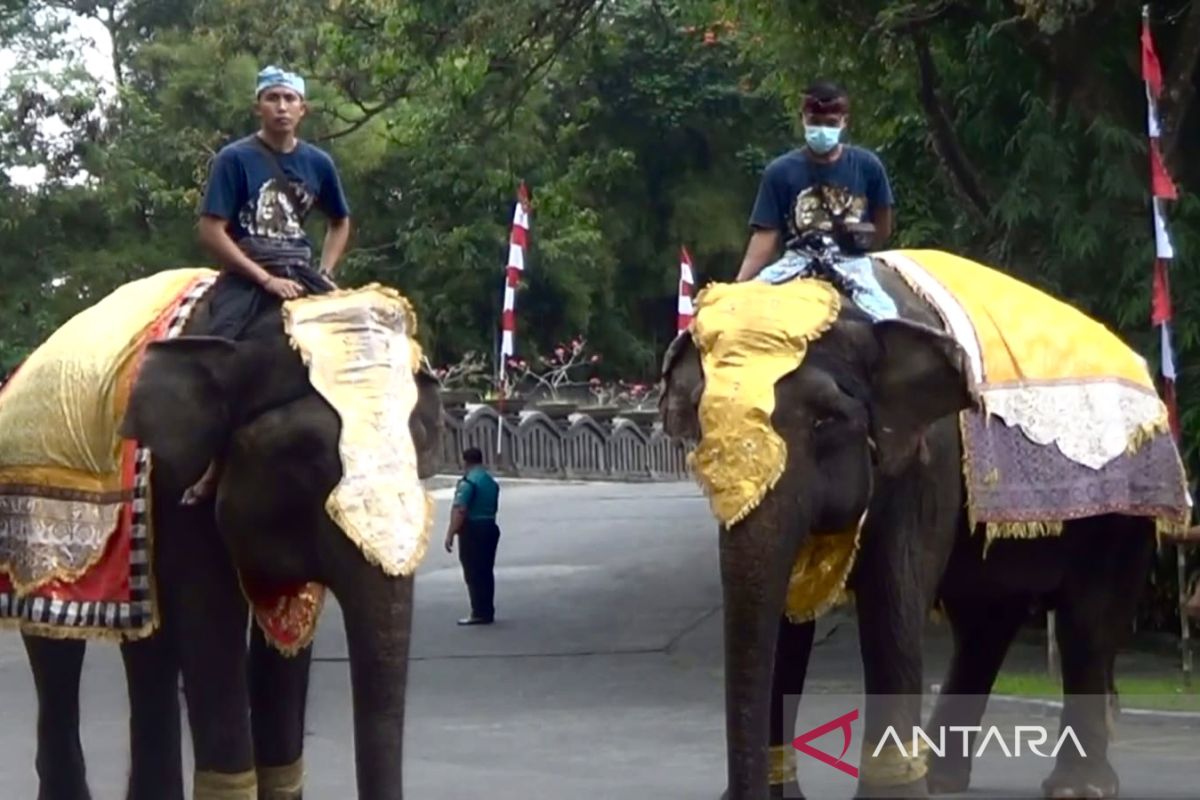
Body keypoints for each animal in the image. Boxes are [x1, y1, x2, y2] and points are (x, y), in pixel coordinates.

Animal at [16, 293, 446, 800]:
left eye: (422, 454)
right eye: (306, 455)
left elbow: (286, 642)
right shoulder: (175, 481)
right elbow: (211, 617)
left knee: (147, 649)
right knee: (53, 649)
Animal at [657, 260, 1180, 796]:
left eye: (826, 420)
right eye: (702, 423)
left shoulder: (930, 453)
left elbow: (894, 588)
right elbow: (786, 606)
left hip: (1128, 500)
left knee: (1086, 619)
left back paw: (1077, 787)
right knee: (985, 621)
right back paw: (943, 780)